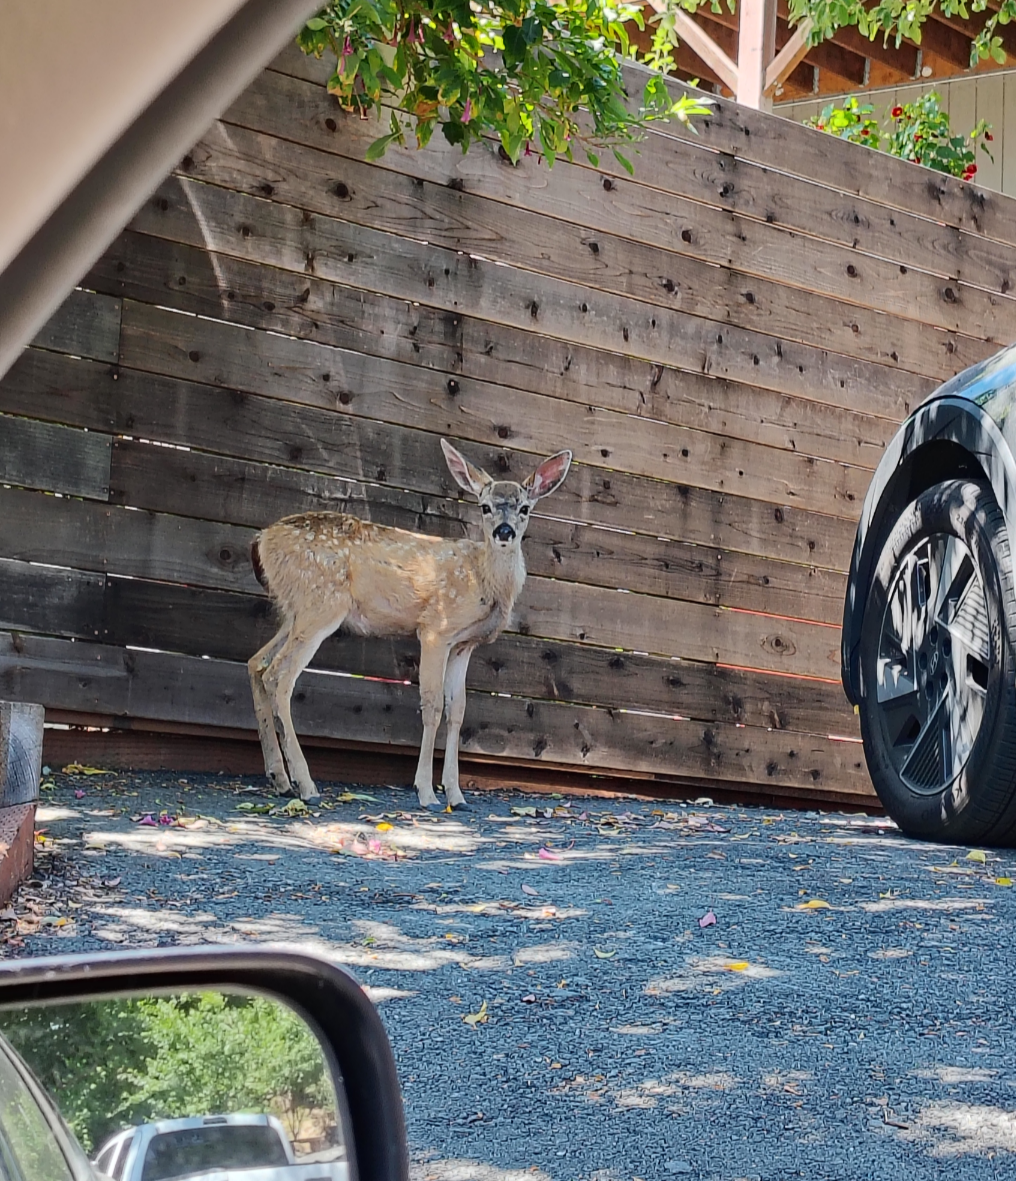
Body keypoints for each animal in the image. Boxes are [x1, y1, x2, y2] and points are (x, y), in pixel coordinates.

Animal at [247, 440, 573, 809]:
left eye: (525, 508)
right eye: (485, 506)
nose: (504, 532)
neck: (482, 580)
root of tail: (260, 540)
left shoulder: (464, 644)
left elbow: (457, 710)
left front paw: (457, 794)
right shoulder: (435, 630)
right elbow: (432, 705)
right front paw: (427, 793)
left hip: (295, 610)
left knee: (257, 663)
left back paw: (280, 778)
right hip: (320, 604)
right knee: (279, 676)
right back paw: (305, 784)